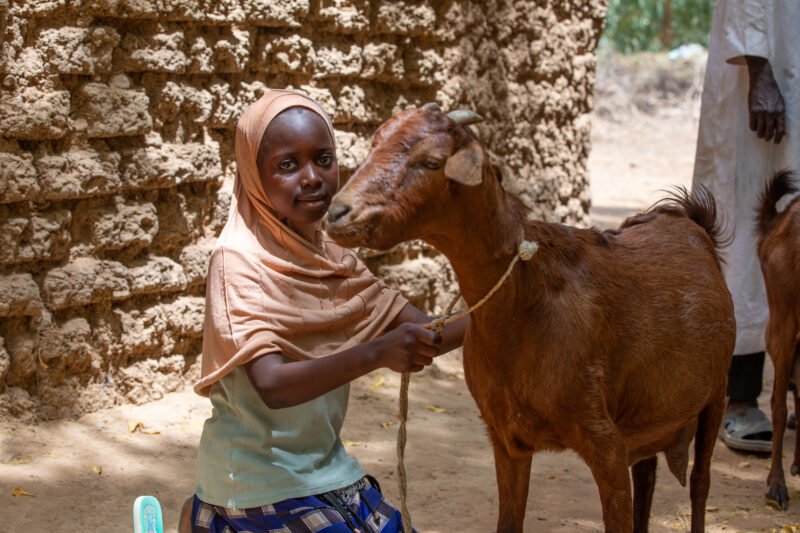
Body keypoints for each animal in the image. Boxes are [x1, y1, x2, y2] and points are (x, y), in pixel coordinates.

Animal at [326, 107, 736, 532]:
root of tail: (690, 220)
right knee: (648, 475)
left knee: (700, 482)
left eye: (431, 162)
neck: (524, 306)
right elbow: (509, 521)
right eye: (375, 143)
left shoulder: (606, 443)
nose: (338, 213)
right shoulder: (507, 438)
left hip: (716, 392)